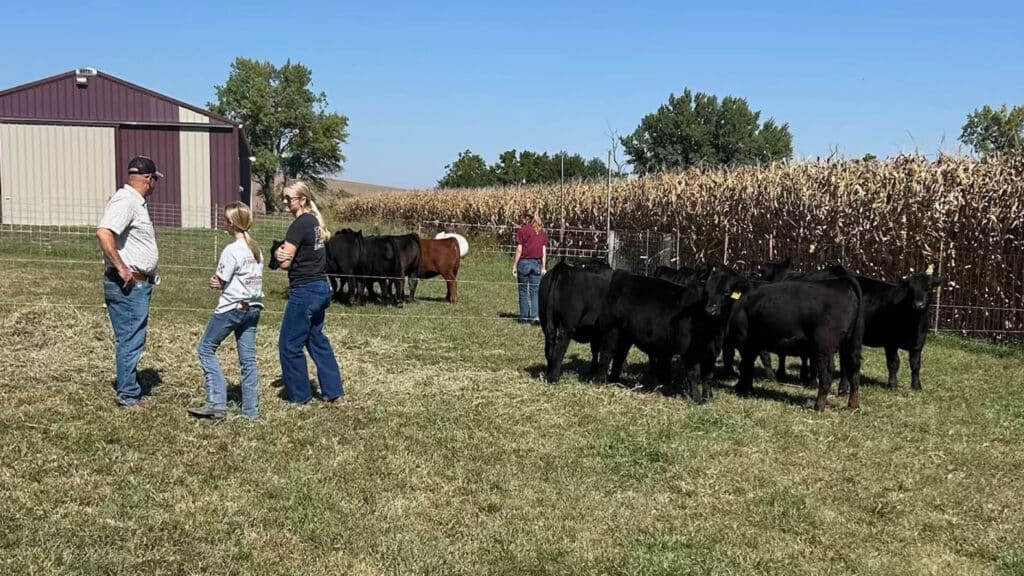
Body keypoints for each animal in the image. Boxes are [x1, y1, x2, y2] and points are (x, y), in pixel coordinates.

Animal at [724, 273, 864, 411]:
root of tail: (841, 281)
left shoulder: (744, 340)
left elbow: (745, 365)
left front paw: (743, 390)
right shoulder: (753, 344)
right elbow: (748, 365)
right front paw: (744, 389)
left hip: (824, 345)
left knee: (826, 374)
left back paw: (818, 406)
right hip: (852, 341)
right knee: (854, 370)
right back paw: (853, 406)